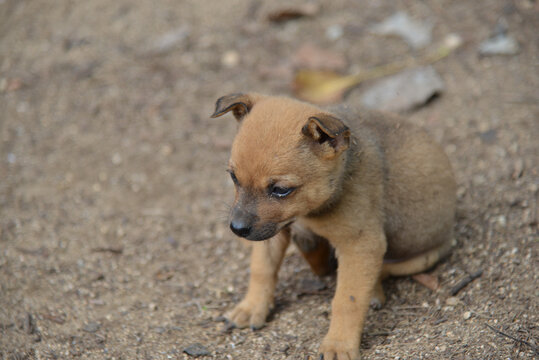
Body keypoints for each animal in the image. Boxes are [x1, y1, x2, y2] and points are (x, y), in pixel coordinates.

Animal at [211, 93, 456, 360]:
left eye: (281, 190)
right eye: (233, 177)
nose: (237, 228)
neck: (310, 213)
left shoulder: (360, 245)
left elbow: (347, 299)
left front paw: (339, 344)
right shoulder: (272, 230)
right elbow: (261, 269)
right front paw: (251, 306)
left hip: (420, 258)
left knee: (380, 271)